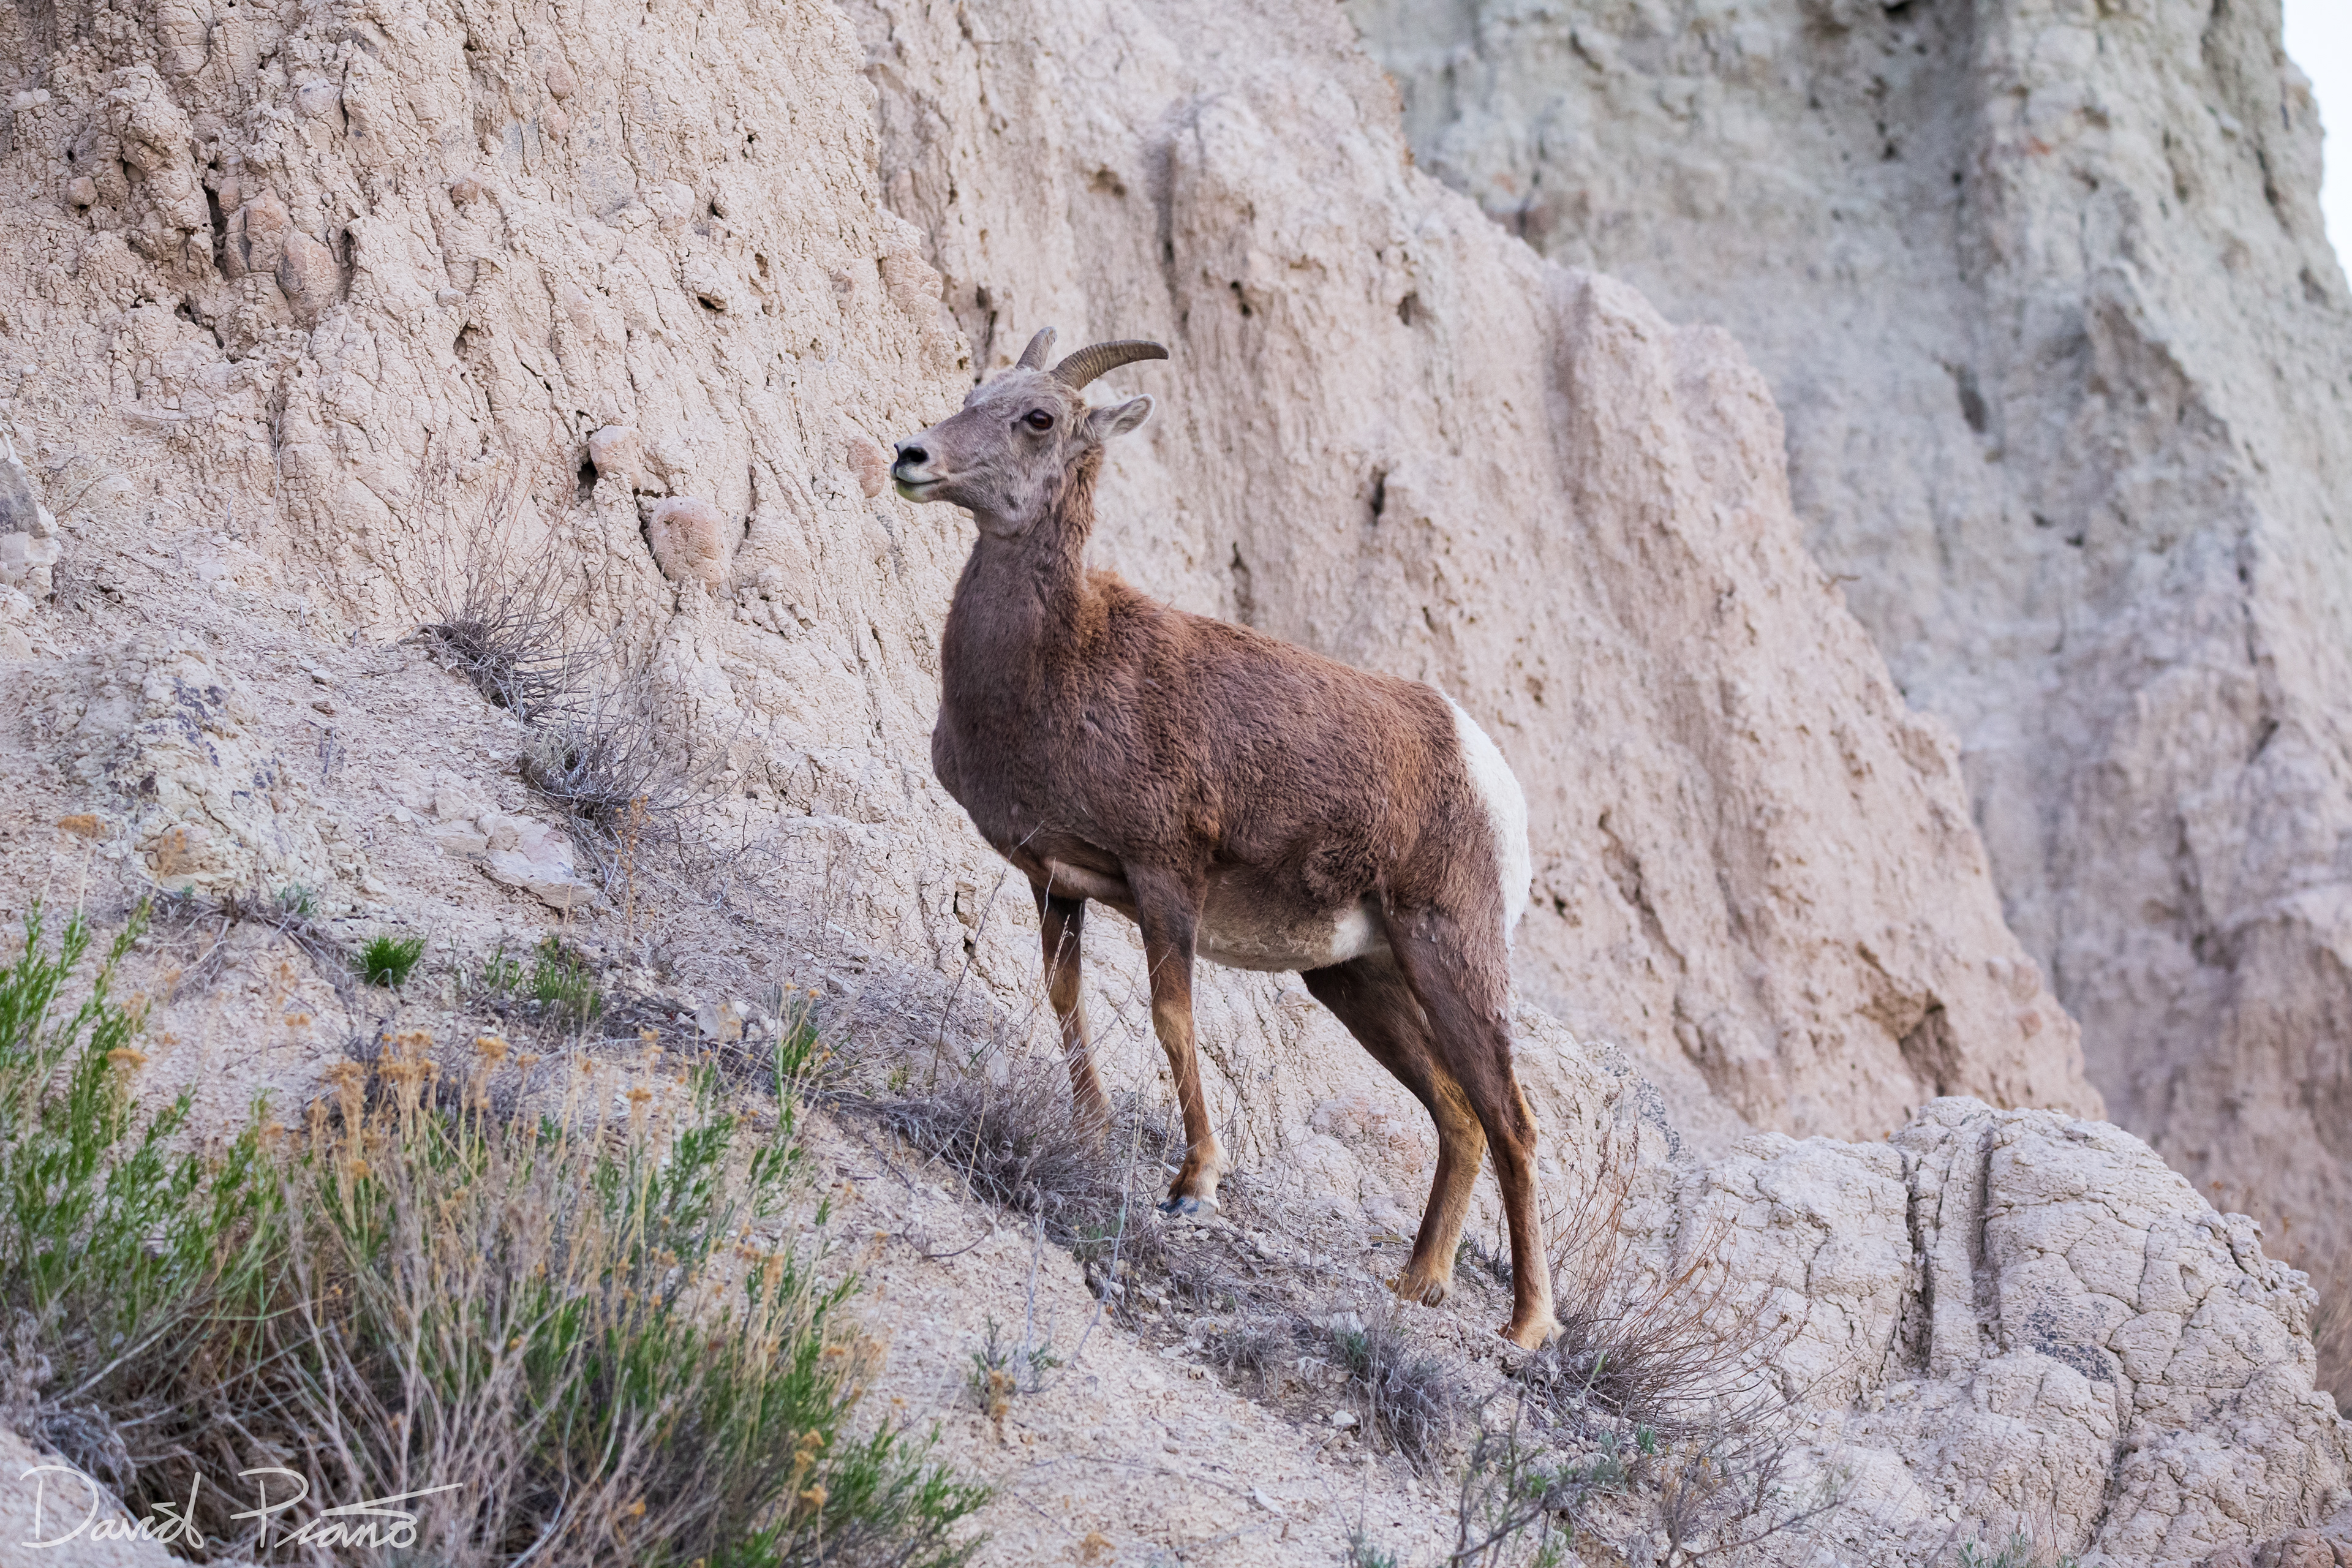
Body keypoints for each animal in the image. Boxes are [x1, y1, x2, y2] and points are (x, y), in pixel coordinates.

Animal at [892, 329, 1553, 1348]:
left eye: (1037, 417)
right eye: (974, 391)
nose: (913, 458)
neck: (1062, 666)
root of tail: (1487, 772)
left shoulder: (1166, 879)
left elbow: (1173, 1018)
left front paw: (1192, 1187)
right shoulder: (1057, 882)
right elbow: (1064, 1000)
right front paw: (1090, 1137)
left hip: (1452, 956)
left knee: (1511, 1120)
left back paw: (1525, 1328)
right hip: (1357, 979)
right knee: (1459, 1115)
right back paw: (1417, 1285)